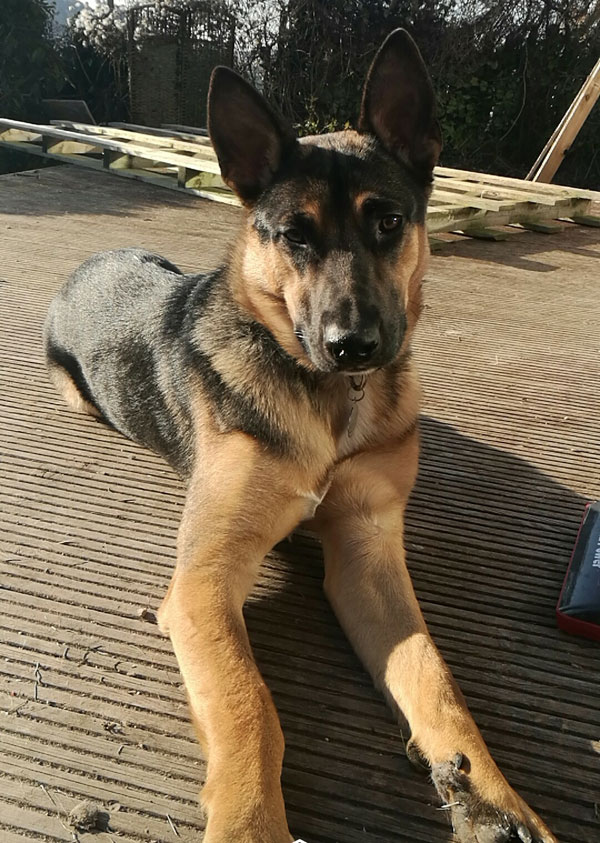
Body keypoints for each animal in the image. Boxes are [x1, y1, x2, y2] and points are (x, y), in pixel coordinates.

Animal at [43, 28, 556, 843]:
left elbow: (436, 681)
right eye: (294, 236)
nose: (355, 347)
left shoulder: (369, 558)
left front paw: (495, 799)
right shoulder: (204, 584)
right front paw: (251, 820)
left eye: (388, 221)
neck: (331, 403)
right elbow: (252, 706)